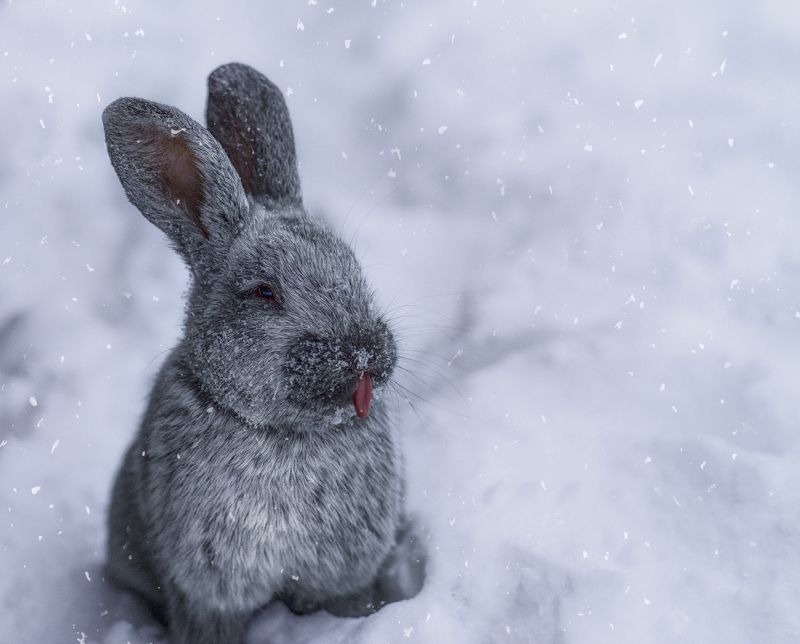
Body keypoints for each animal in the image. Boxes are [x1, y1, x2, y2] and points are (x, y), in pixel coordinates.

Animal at [102, 62, 425, 644]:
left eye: (352, 266)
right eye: (264, 293)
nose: (365, 352)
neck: (283, 433)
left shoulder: (343, 574)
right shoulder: (207, 589)